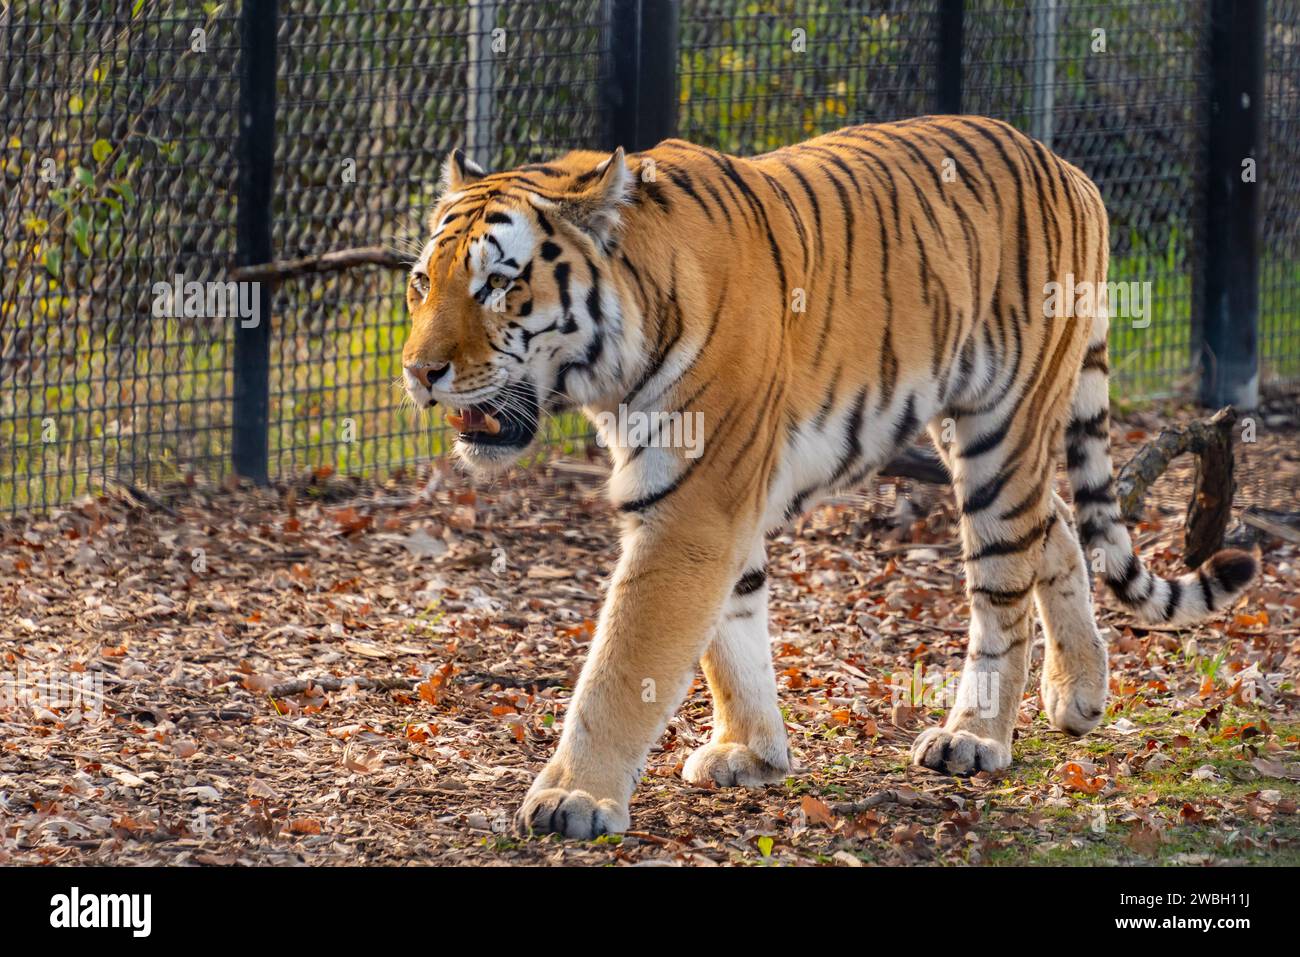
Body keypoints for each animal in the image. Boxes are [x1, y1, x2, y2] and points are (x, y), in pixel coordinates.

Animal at [400, 117, 1253, 837]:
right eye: (420, 283)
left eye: (498, 284)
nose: (417, 371)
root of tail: (1069, 168)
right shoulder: (716, 500)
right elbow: (733, 634)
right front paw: (753, 752)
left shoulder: (692, 506)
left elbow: (623, 665)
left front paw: (574, 795)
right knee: (1062, 529)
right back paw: (1079, 693)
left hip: (1001, 431)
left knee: (1003, 589)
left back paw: (975, 736)